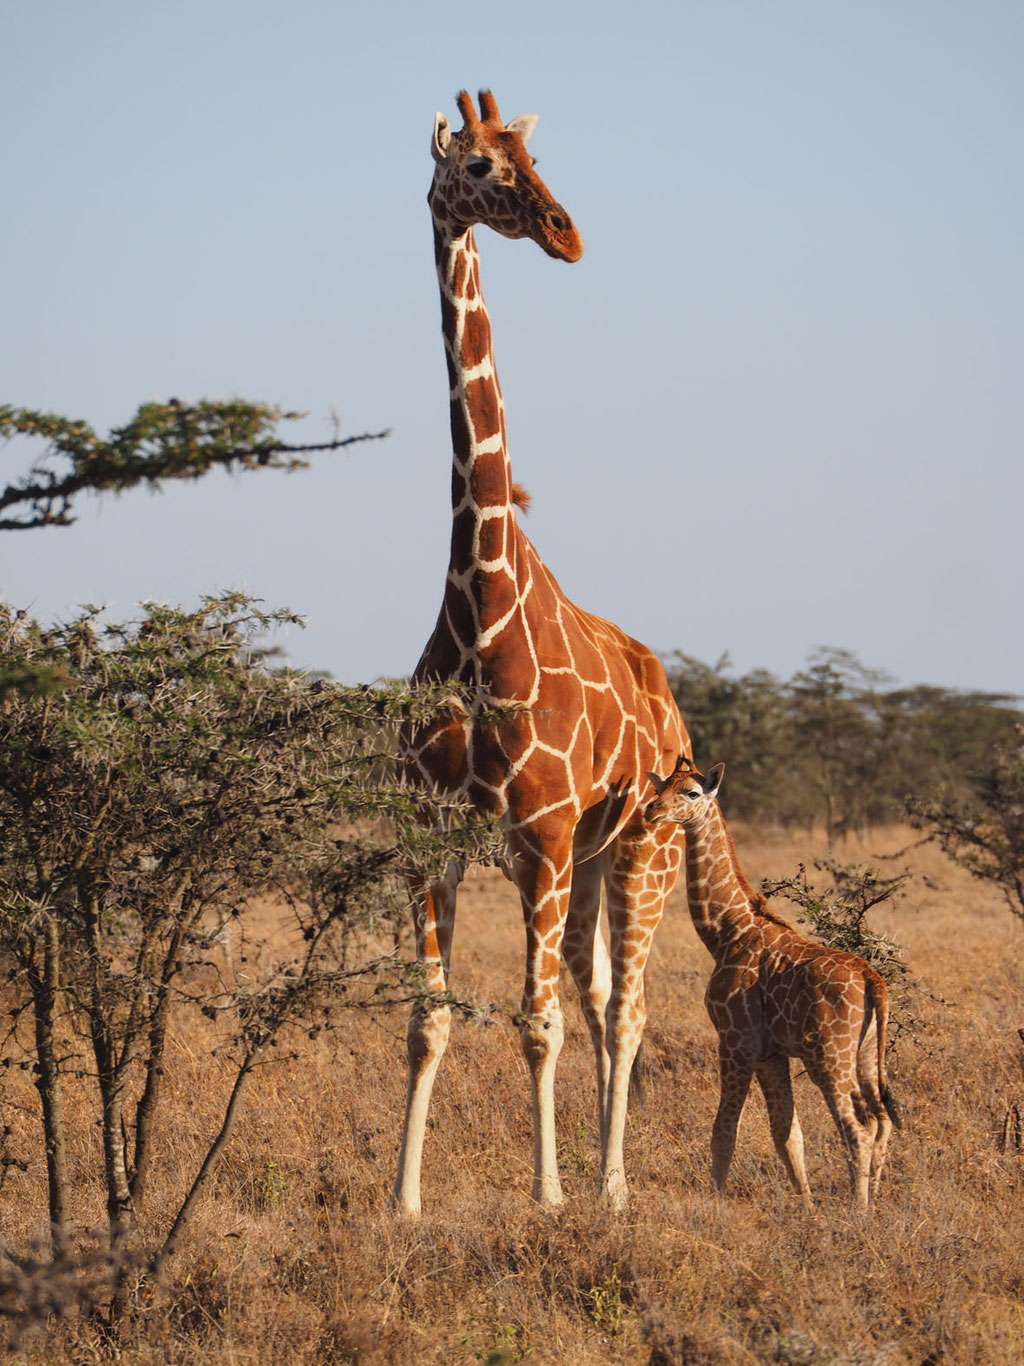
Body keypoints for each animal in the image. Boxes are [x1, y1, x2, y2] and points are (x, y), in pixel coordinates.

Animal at [393, 88, 690, 1218]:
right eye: (480, 166)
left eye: (531, 157)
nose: (566, 231)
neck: (480, 602)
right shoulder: (431, 827)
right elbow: (428, 1019)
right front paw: (404, 1200)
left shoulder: (540, 832)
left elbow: (536, 1021)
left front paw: (549, 1195)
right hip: (598, 849)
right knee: (603, 995)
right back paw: (607, 1176)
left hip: (640, 836)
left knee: (625, 1004)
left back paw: (612, 1186)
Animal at [644, 754, 901, 1213]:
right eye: (661, 787)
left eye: (690, 792)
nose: (651, 811)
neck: (727, 931)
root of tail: (873, 981)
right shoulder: (772, 1053)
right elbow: (786, 1133)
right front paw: (807, 1207)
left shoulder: (736, 1040)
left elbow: (724, 1130)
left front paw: (715, 1201)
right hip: (868, 1056)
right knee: (884, 1120)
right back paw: (873, 1199)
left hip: (829, 1057)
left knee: (858, 1127)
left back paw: (858, 1212)